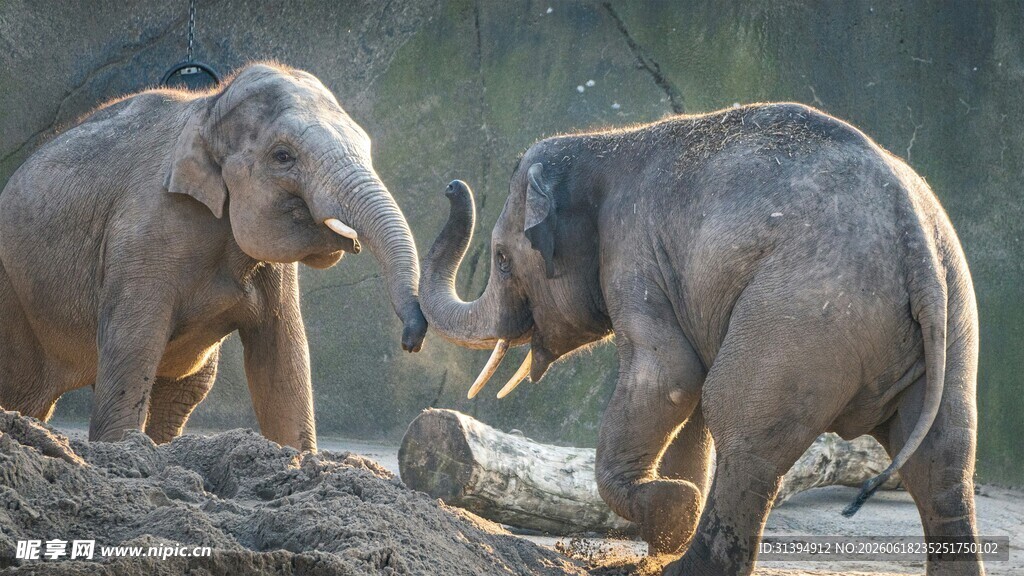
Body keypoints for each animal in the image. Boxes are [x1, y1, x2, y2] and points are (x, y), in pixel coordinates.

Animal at [0, 63, 427, 452]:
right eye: (283, 156)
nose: (412, 339)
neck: (207, 109)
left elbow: (283, 356)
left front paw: (301, 461)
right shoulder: (144, 235)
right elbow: (133, 348)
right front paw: (120, 452)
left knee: (182, 392)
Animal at [420, 103, 981, 575]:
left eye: (501, 260)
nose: (451, 186)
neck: (605, 143)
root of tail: (914, 242)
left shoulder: (635, 252)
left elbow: (669, 378)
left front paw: (674, 509)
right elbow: (688, 409)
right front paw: (666, 529)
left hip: (801, 319)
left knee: (742, 428)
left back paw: (687, 567)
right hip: (952, 321)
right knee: (943, 457)